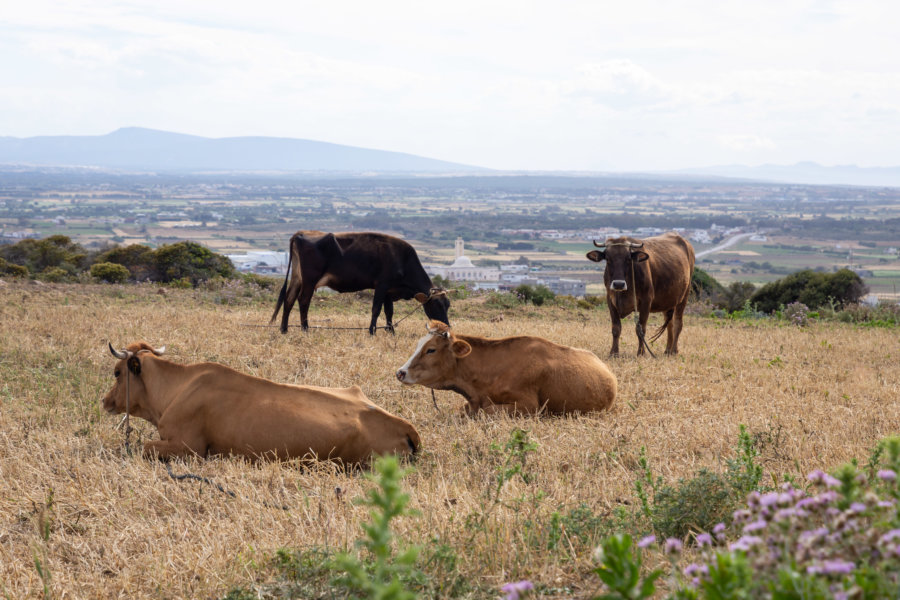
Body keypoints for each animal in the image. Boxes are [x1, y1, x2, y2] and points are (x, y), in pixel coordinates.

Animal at [103, 342, 422, 464]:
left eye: (117, 372)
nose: (105, 400)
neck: (176, 388)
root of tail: (405, 425)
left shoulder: (189, 447)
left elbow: (145, 446)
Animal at [268, 230, 450, 336]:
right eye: (436, 305)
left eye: (447, 305)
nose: (446, 327)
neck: (403, 259)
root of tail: (301, 233)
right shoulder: (382, 285)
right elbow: (376, 309)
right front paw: (372, 332)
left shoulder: (389, 291)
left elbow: (389, 312)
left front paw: (391, 331)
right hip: (309, 281)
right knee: (303, 301)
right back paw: (305, 329)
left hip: (297, 278)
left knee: (289, 299)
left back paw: (284, 329)